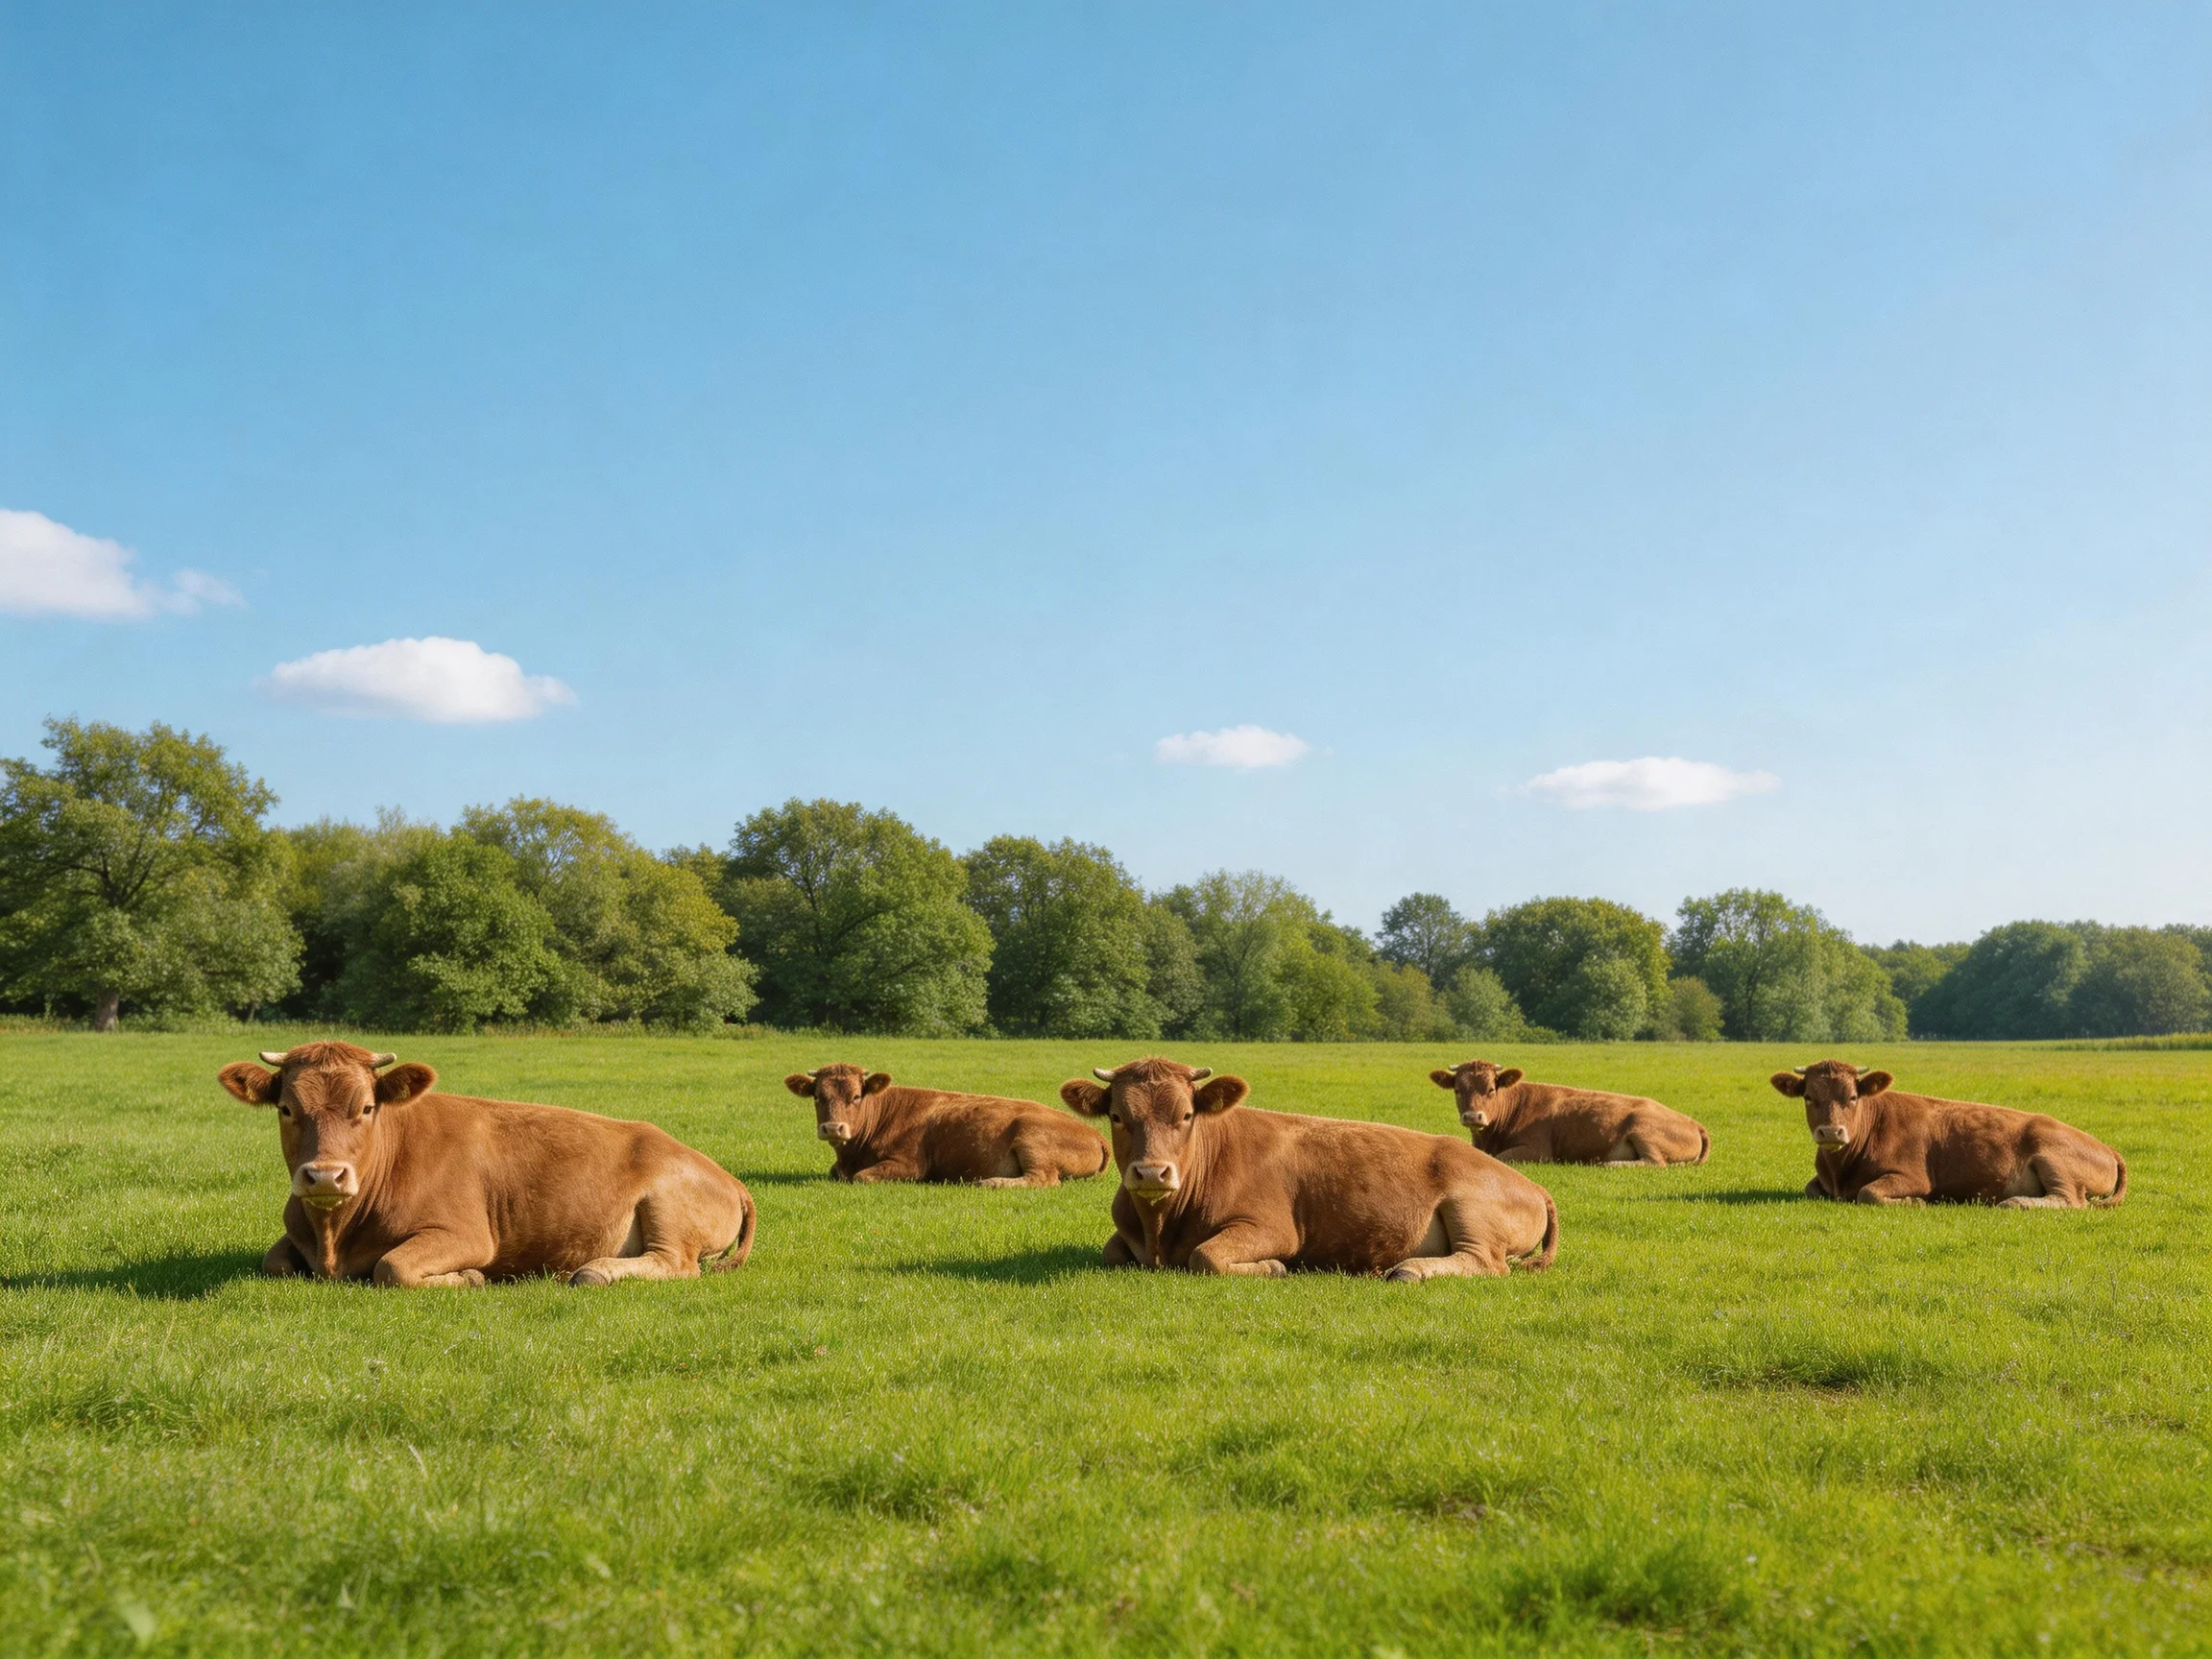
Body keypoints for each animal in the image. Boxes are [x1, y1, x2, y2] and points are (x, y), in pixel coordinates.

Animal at [218, 1042, 756, 1286]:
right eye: (286, 1109)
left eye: (366, 1108)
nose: (325, 1175)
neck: (336, 1238)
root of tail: (726, 1175)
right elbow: (273, 1262)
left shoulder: (467, 1235)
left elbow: (392, 1267)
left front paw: (471, 1278)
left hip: (669, 1203)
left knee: (677, 1264)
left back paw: (595, 1271)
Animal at [785, 1064, 1110, 1187]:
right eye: (817, 1096)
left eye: (855, 1096)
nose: (833, 1128)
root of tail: (1096, 1133)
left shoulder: (910, 1164)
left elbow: (862, 1177)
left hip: (1031, 1136)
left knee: (1042, 1179)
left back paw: (990, 1182)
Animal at [1058, 1056, 1556, 1280]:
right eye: (1116, 1116)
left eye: (1185, 1115)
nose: (1151, 1173)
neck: (1161, 1228)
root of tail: (1533, 1185)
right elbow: (1112, 1252)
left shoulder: (1273, 1227)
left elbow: (1206, 1256)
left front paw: (1274, 1267)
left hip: (1472, 1207)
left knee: (1486, 1262)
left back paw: (1410, 1269)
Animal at [1430, 1058, 1709, 1166]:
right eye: (1457, 1089)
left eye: (1490, 1089)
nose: (1473, 1116)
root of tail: (1693, 1122)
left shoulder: (1537, 1151)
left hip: (1643, 1129)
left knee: (1656, 1162)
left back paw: (1611, 1163)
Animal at [1771, 1059, 2126, 1208]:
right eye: (1809, 1097)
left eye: (1853, 1097)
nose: (1831, 1131)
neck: (1841, 1172)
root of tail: (2108, 1148)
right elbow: (1810, 1189)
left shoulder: (1913, 1176)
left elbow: (1868, 1193)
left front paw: (1915, 1202)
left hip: (2053, 1157)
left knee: (2072, 1200)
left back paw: (2014, 1202)